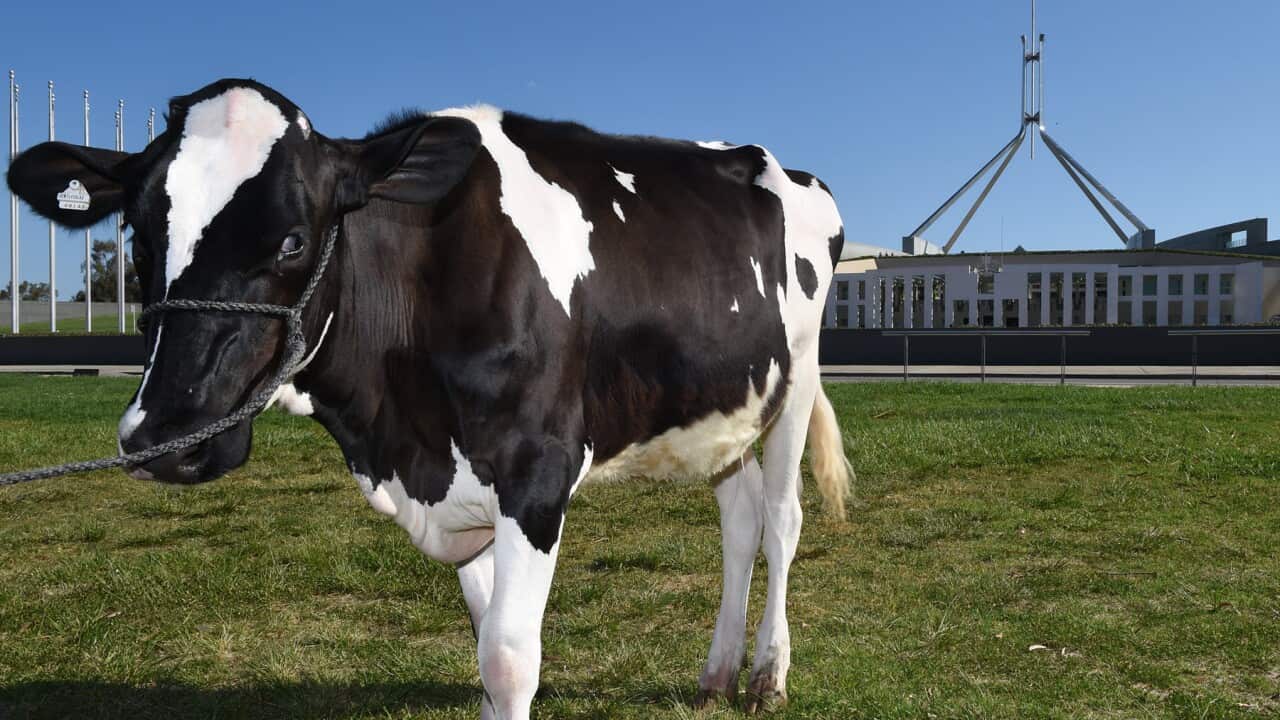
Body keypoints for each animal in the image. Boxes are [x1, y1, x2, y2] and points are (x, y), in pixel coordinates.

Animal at [6, 78, 852, 719]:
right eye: (138, 236)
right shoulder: (459, 485)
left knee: (781, 520)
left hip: (796, 384)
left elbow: (509, 660)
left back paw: (767, 676)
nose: (166, 435)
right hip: (720, 408)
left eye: (294, 239)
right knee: (739, 519)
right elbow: (484, 655)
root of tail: (781, 167)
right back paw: (715, 674)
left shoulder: (536, 471)